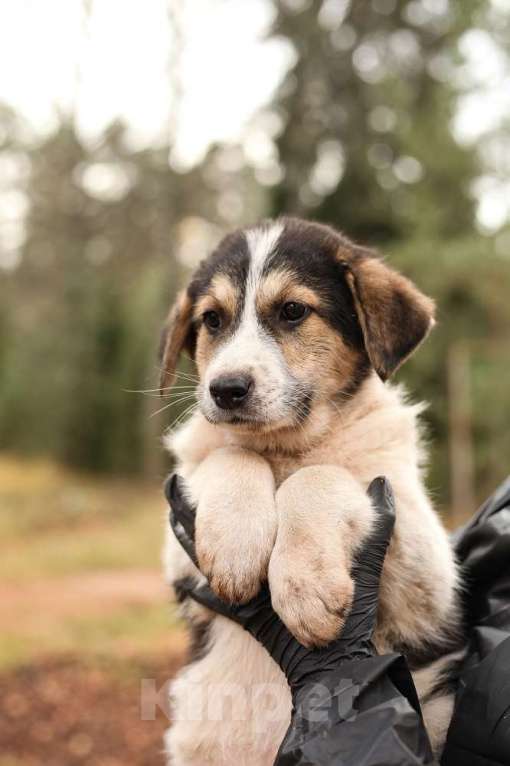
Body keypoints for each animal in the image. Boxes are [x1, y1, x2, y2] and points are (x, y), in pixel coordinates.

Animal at [160, 218, 462, 766]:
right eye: (212, 320)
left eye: (293, 311)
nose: (225, 389)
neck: (286, 449)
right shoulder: (178, 551)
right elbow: (231, 456)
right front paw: (236, 546)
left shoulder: (426, 571)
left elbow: (319, 476)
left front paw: (306, 589)